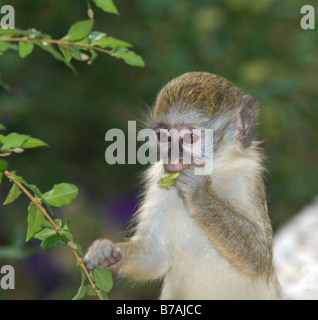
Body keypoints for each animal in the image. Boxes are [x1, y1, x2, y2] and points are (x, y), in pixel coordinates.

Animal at [84, 72, 280, 300]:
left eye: (190, 138)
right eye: (164, 136)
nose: (173, 158)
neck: (215, 172)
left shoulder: (246, 177)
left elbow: (260, 256)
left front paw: (199, 194)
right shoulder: (157, 179)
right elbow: (154, 255)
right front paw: (107, 252)